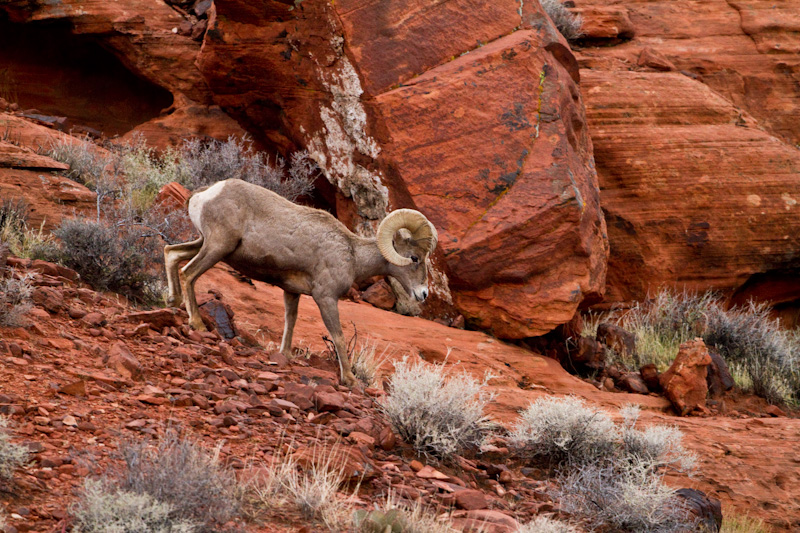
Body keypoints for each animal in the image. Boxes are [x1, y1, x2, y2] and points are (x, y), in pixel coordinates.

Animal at [163, 179, 438, 386]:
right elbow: (338, 336)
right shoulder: (325, 298)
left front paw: (284, 356)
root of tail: (205, 194)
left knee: (171, 253)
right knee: (188, 273)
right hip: (217, 247)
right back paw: (197, 323)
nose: (423, 294)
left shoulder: (291, 293)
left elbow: (290, 323)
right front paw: (349, 380)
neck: (351, 254)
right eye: (414, 258)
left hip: (207, 244)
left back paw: (172, 301)